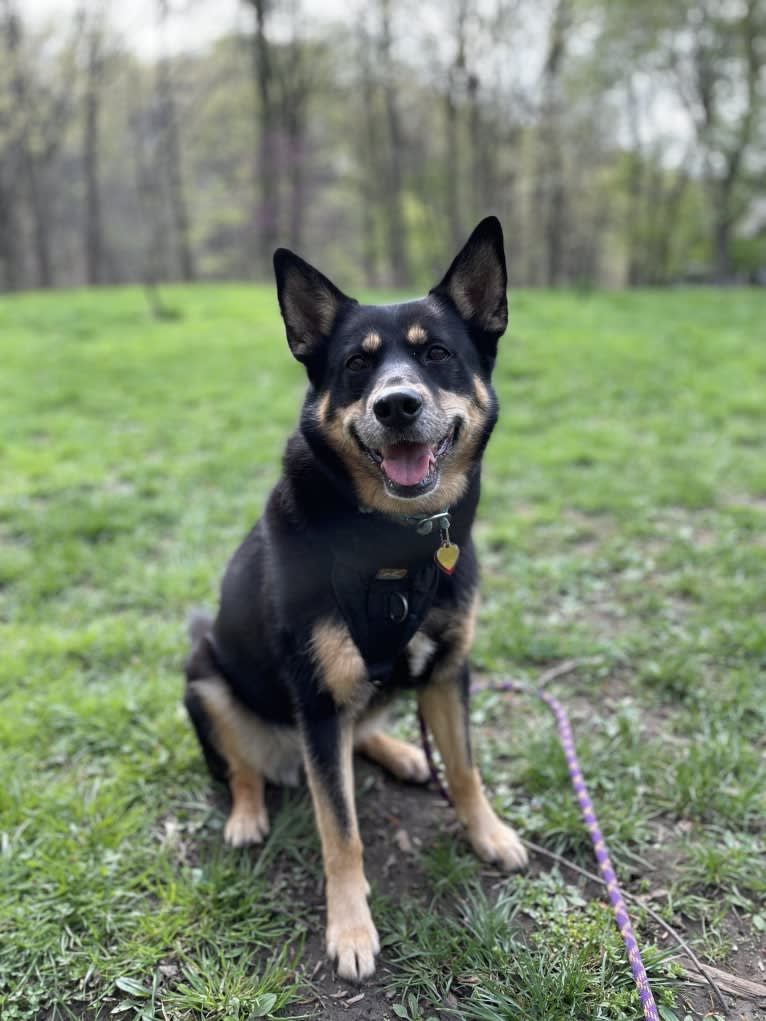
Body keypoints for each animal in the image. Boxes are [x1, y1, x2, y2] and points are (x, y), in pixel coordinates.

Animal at [185, 215, 531, 980]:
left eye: (437, 354)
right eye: (354, 366)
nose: (396, 404)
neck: (393, 541)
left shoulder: (448, 671)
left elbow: (466, 769)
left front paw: (489, 832)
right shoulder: (318, 702)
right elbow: (339, 829)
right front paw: (349, 928)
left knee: (365, 729)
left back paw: (401, 752)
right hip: (203, 672)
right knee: (244, 767)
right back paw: (247, 814)